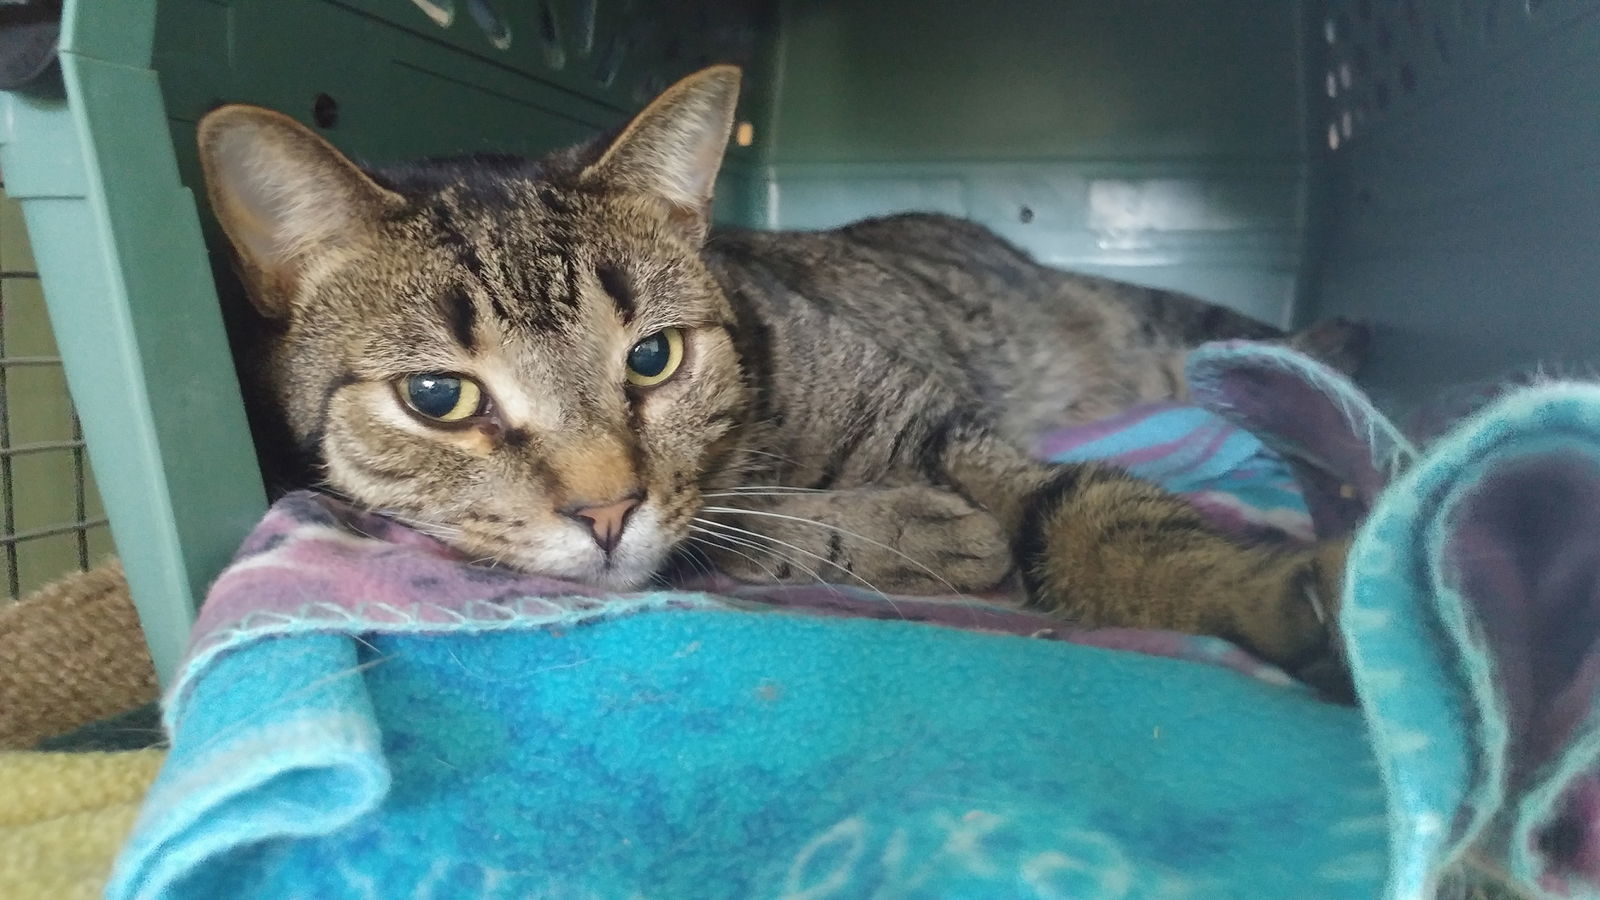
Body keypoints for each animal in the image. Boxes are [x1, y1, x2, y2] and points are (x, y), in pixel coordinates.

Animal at [190, 64, 1363, 695]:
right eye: (438, 399)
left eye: (652, 356)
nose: (605, 509)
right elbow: (740, 535)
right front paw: (926, 534)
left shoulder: (947, 429)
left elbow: (1103, 516)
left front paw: (1282, 598)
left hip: (1142, 334)